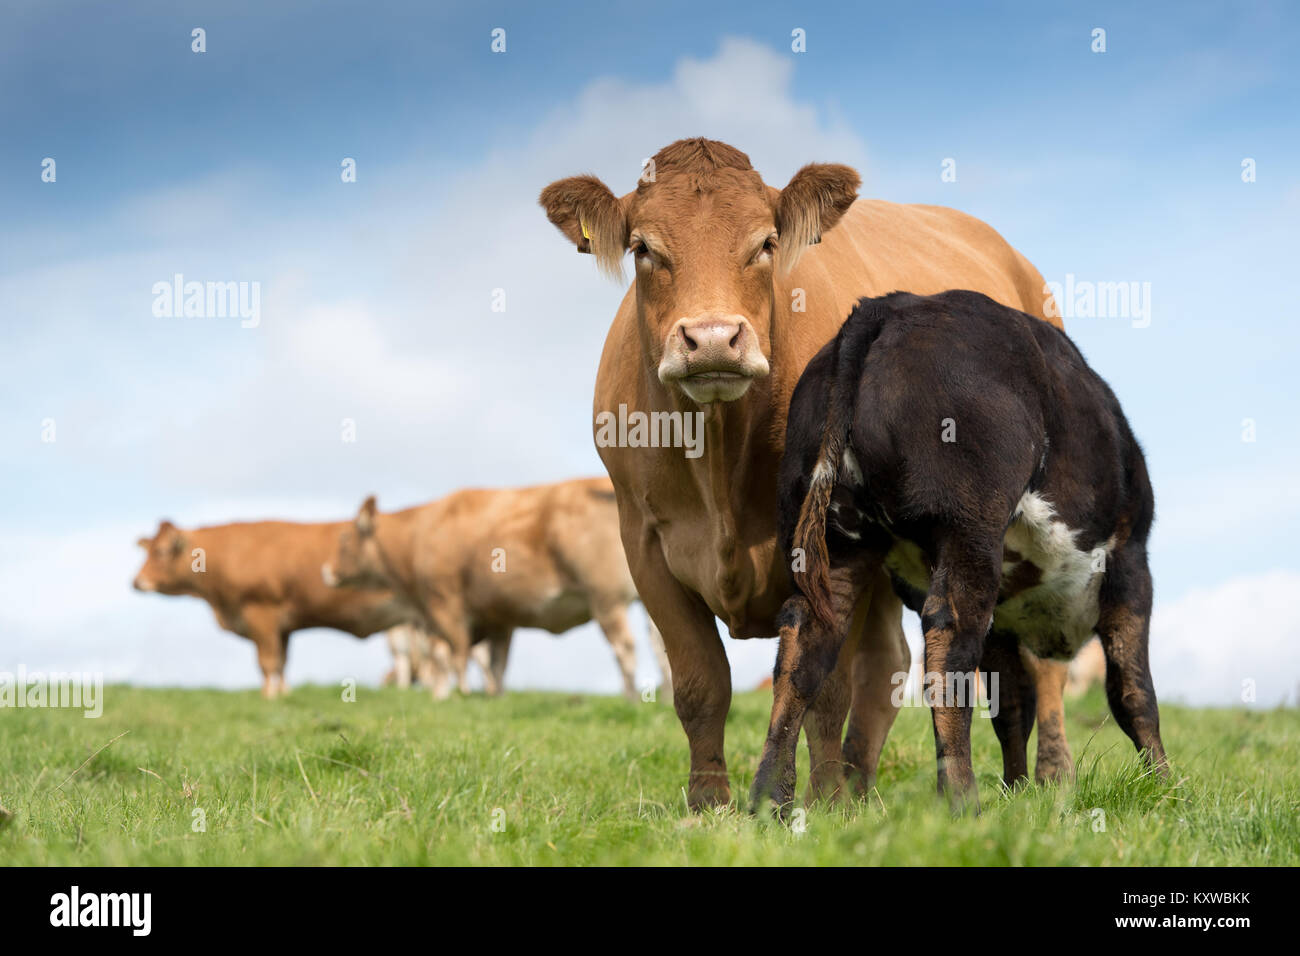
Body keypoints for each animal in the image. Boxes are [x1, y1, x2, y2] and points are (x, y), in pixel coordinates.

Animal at [132, 519, 416, 698]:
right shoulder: (284, 627)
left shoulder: (261, 613)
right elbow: (281, 662)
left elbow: (267, 662)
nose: (136, 581)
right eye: (149, 550)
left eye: (162, 551)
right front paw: (283, 693)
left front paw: (269, 696)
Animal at [320, 477, 672, 701]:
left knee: (625, 649)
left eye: (346, 540)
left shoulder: (444, 603)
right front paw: (494, 697)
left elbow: (453, 652)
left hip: (607, 600)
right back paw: (666, 697)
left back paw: (630, 698)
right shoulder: (499, 618)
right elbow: (497, 663)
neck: (417, 535)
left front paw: (454, 693)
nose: (327, 571)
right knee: (662, 647)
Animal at [541, 137, 1074, 809]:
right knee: (887, 663)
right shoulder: (642, 542)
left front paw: (823, 803)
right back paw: (862, 784)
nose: (712, 339)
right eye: (643, 248)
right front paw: (710, 802)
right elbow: (699, 683)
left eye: (766, 243)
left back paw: (1050, 773)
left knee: (1038, 658)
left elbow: (825, 685)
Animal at [751, 290, 1168, 812]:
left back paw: (770, 801)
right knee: (949, 642)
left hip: (834, 541)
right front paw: (1167, 788)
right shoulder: (1130, 562)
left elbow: (1013, 705)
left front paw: (1017, 791)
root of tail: (889, 306)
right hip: (968, 528)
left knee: (804, 644)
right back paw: (962, 800)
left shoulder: (1006, 615)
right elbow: (1134, 693)